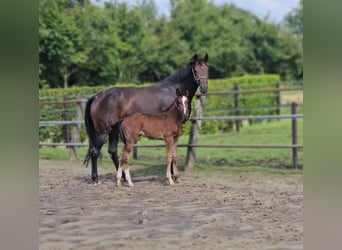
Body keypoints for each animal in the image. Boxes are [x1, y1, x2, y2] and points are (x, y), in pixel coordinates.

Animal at [83, 52, 208, 183]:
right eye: (195, 70)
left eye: (207, 68)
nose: (204, 88)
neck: (173, 90)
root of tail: (97, 96)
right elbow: (171, 153)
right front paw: (172, 176)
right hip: (103, 131)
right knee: (95, 151)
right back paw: (96, 179)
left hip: (113, 130)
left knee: (112, 151)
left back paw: (122, 177)